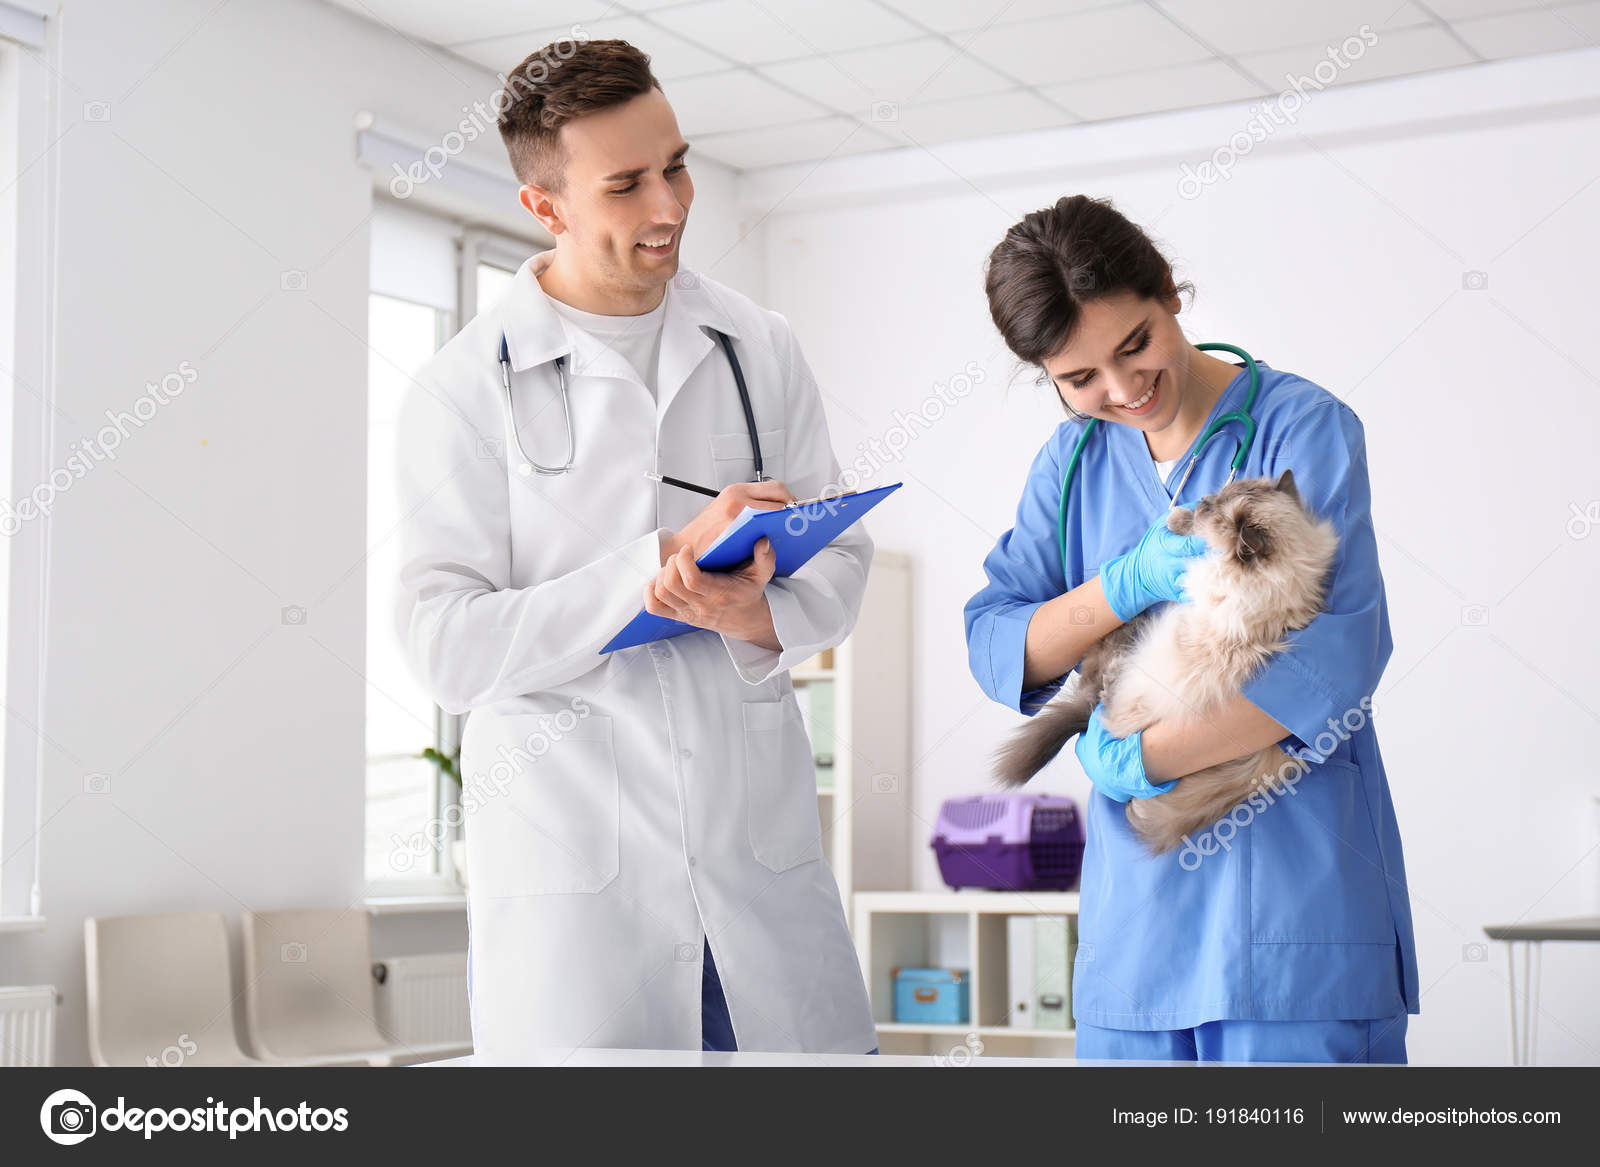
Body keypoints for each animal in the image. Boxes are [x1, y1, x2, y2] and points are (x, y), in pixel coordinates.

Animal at [998, 467, 1337, 851]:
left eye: (1218, 514)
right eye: (1218, 497)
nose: (1203, 500)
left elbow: (1197, 548)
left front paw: (1176, 520)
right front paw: (1176, 522)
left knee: (1099, 683)